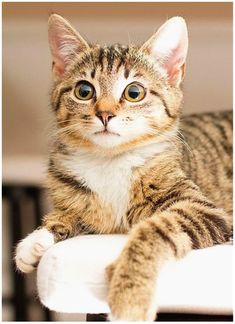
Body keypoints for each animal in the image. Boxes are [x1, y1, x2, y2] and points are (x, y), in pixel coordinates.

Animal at [15, 13, 233, 320]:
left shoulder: (205, 209)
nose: (105, 114)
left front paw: (129, 295)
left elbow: (155, 229)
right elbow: (74, 213)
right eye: (84, 91)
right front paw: (39, 239)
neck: (110, 160)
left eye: (134, 92)